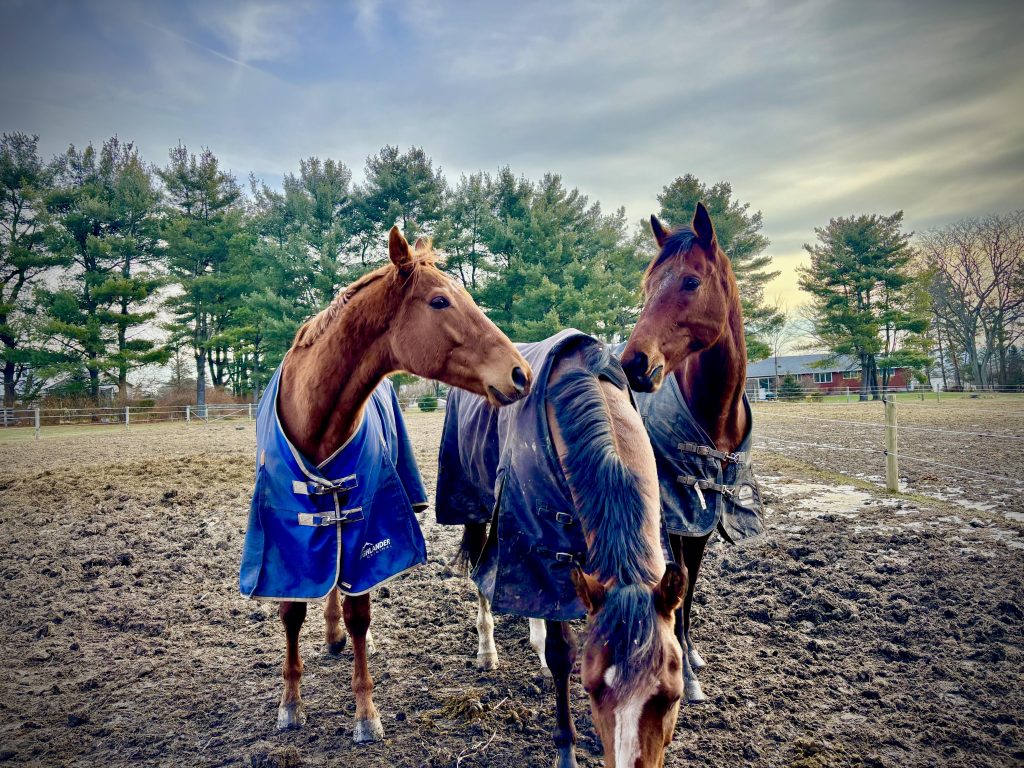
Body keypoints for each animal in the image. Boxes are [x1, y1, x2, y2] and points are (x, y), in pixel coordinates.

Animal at [239, 226, 532, 743]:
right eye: (439, 301)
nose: (520, 373)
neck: (314, 417)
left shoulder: (366, 522)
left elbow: (359, 612)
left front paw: (365, 712)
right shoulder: (283, 535)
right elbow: (292, 611)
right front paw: (290, 704)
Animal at [437, 332, 687, 768]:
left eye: (672, 695)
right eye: (589, 687)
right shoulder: (548, 553)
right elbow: (561, 653)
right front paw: (566, 750)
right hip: (477, 507)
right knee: (481, 577)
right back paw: (487, 650)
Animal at [619, 202, 765, 704]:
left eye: (690, 282)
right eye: (647, 287)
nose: (634, 364)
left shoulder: (703, 511)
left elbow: (693, 581)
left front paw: (691, 652)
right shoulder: (677, 511)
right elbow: (678, 579)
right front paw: (682, 667)